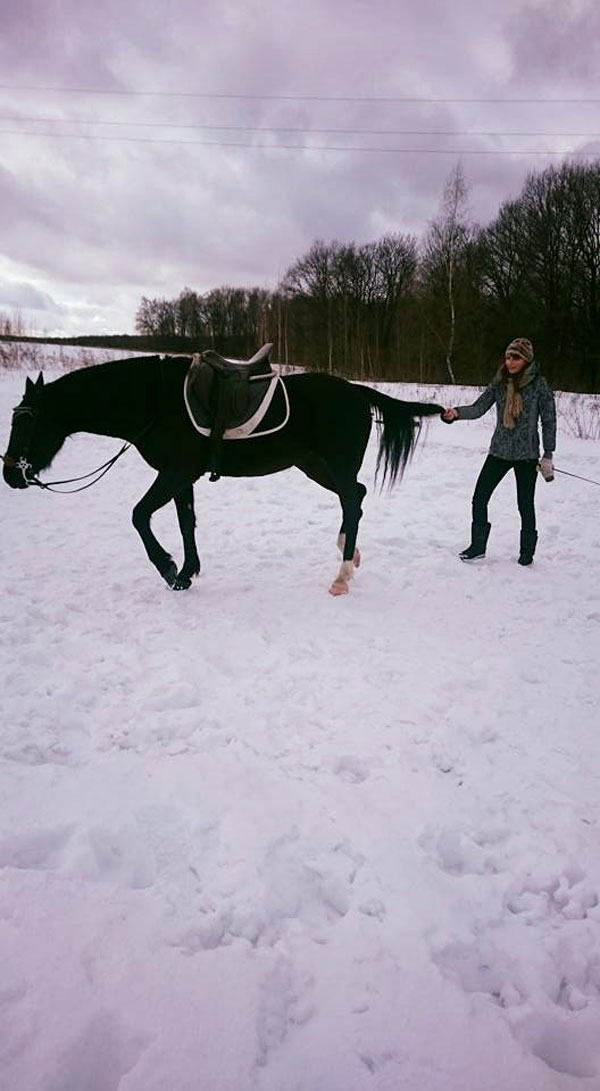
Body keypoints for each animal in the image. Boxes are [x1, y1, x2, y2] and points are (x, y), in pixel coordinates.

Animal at [2, 351, 445, 593]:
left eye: (26, 423)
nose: (10, 474)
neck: (155, 402)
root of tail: (356, 392)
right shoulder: (181, 476)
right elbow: (185, 522)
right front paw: (186, 573)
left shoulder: (175, 472)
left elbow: (140, 516)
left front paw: (168, 568)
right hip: (316, 466)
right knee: (356, 496)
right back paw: (348, 554)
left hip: (332, 463)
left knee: (352, 502)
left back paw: (341, 576)